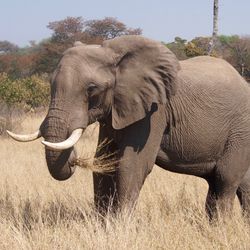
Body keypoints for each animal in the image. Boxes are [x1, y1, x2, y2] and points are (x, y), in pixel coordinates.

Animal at [7, 34, 250, 219]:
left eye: (91, 89)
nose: (74, 158)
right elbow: (104, 161)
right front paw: (102, 224)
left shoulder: (154, 110)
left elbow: (132, 164)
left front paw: (120, 225)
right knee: (236, 183)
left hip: (240, 131)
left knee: (225, 180)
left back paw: (221, 227)